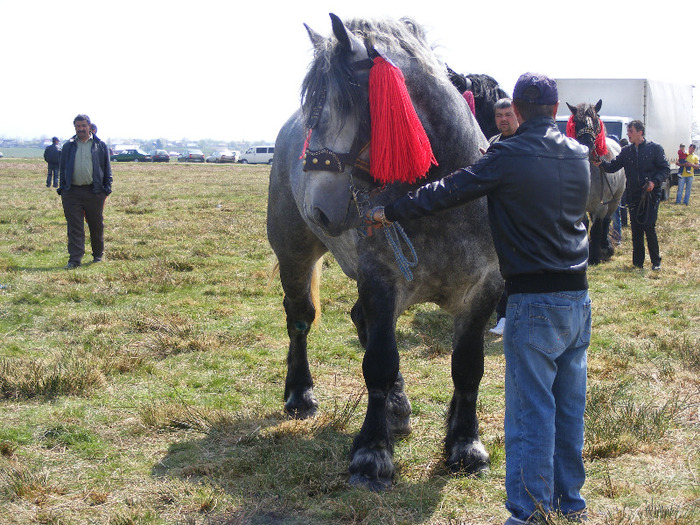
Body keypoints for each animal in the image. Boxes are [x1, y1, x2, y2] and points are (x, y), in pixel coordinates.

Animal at [264, 14, 504, 490]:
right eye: (311, 113)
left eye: (332, 107)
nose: (319, 211)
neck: (442, 194)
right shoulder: (380, 280)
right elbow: (378, 363)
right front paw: (372, 454)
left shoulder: (482, 291)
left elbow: (467, 367)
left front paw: (465, 445)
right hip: (294, 256)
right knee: (300, 320)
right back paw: (301, 394)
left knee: (360, 321)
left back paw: (397, 407)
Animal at [568, 99, 628, 262]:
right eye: (576, 121)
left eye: (595, 120)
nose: (587, 144)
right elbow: (584, 225)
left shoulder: (601, 206)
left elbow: (596, 228)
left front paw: (594, 256)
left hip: (614, 201)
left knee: (606, 221)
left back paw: (605, 246)